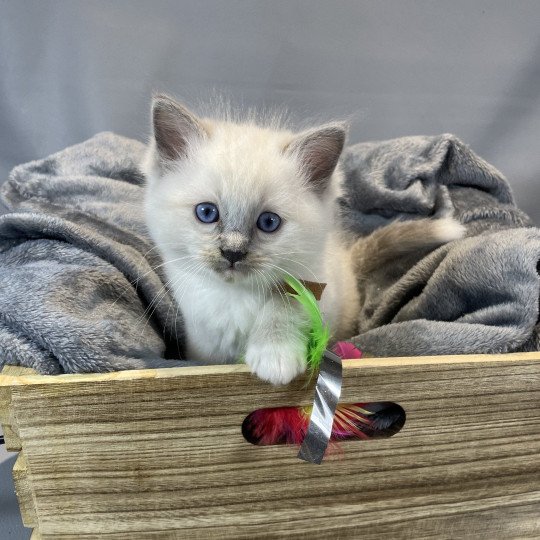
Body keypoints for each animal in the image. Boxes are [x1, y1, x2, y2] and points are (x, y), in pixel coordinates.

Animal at [143, 96, 464, 384]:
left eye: (268, 222)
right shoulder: (202, 336)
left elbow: (284, 306)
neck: (238, 296)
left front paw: (275, 356)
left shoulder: (314, 285)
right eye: (207, 213)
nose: (232, 253)